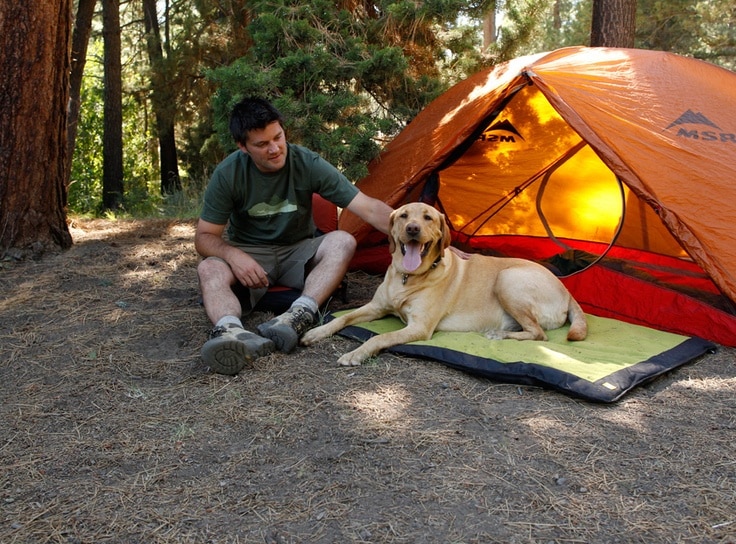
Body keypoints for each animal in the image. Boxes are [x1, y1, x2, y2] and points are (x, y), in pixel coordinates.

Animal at [300, 203, 588, 366]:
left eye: (428, 218)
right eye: (404, 215)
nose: (413, 228)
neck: (408, 276)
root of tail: (567, 292)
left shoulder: (419, 327)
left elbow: (381, 336)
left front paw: (357, 354)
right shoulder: (375, 307)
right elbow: (342, 318)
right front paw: (316, 332)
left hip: (508, 279)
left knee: (539, 334)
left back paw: (500, 335)